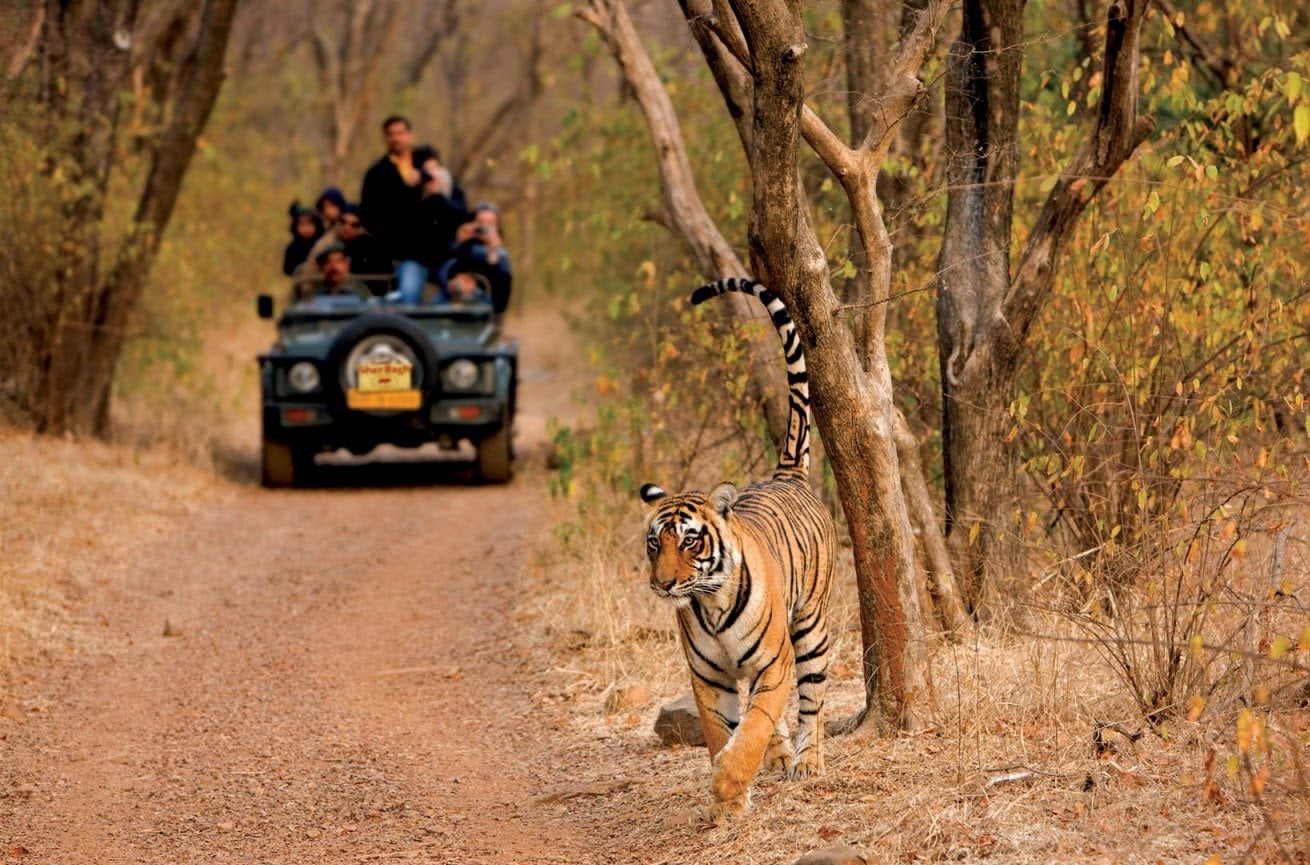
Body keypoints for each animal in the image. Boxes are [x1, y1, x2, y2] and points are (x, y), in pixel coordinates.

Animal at [639, 279, 833, 823]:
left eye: (689, 539)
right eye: (654, 542)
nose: (662, 583)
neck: (711, 602)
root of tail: (787, 474)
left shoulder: (773, 664)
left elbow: (753, 727)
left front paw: (729, 786)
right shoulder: (709, 678)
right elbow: (720, 732)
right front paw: (728, 797)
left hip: (810, 626)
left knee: (812, 700)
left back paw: (807, 762)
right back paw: (783, 756)